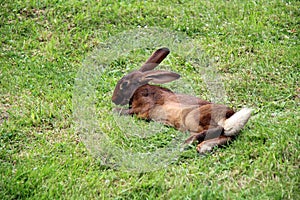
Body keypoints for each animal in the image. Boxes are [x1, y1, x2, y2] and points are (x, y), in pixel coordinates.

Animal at [111, 47, 252, 154]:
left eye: (124, 84)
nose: (114, 99)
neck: (138, 89)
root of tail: (229, 117)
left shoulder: (143, 106)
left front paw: (114, 109)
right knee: (226, 137)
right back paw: (203, 147)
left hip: (193, 117)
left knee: (216, 130)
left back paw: (187, 143)